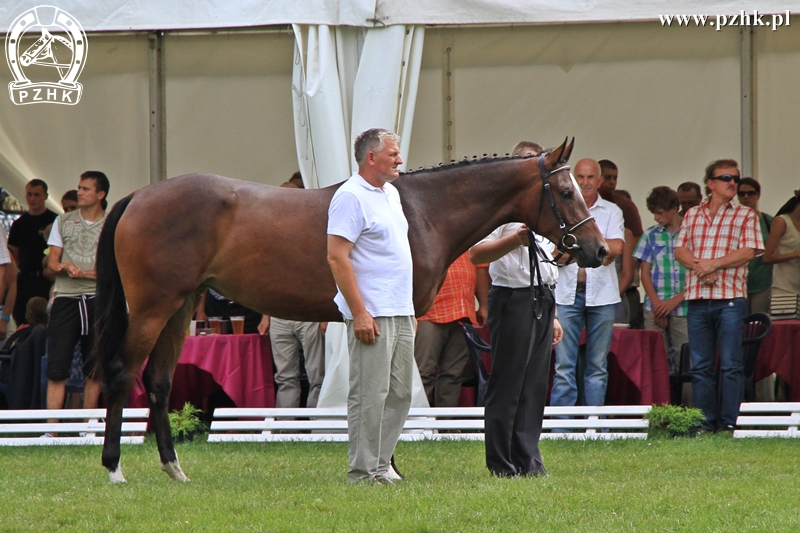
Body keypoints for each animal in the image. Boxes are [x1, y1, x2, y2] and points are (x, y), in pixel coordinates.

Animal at [94, 138, 608, 482]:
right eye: (566, 192)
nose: (598, 250)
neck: (421, 211)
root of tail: (139, 196)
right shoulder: (400, 319)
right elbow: (387, 393)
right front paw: (387, 470)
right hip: (152, 308)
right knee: (123, 373)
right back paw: (114, 469)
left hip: (180, 308)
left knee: (158, 381)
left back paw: (174, 469)